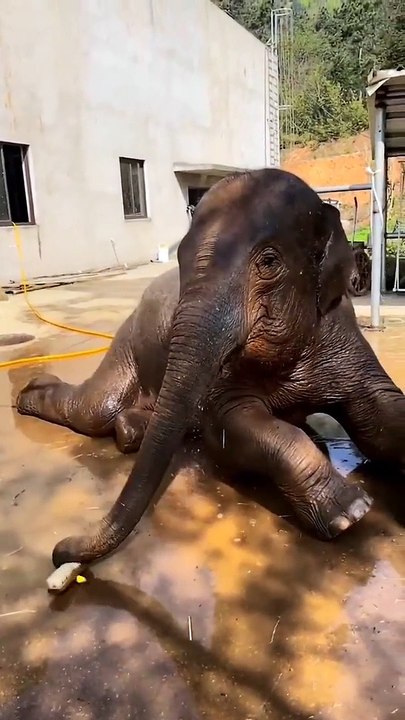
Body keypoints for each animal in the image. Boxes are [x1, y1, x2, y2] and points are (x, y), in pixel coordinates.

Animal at [16, 168, 405, 570]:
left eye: (269, 261)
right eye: (181, 258)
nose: (58, 553)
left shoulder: (344, 340)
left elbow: (380, 412)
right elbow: (231, 429)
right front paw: (350, 513)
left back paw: (129, 430)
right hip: (128, 343)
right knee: (96, 408)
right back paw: (32, 393)